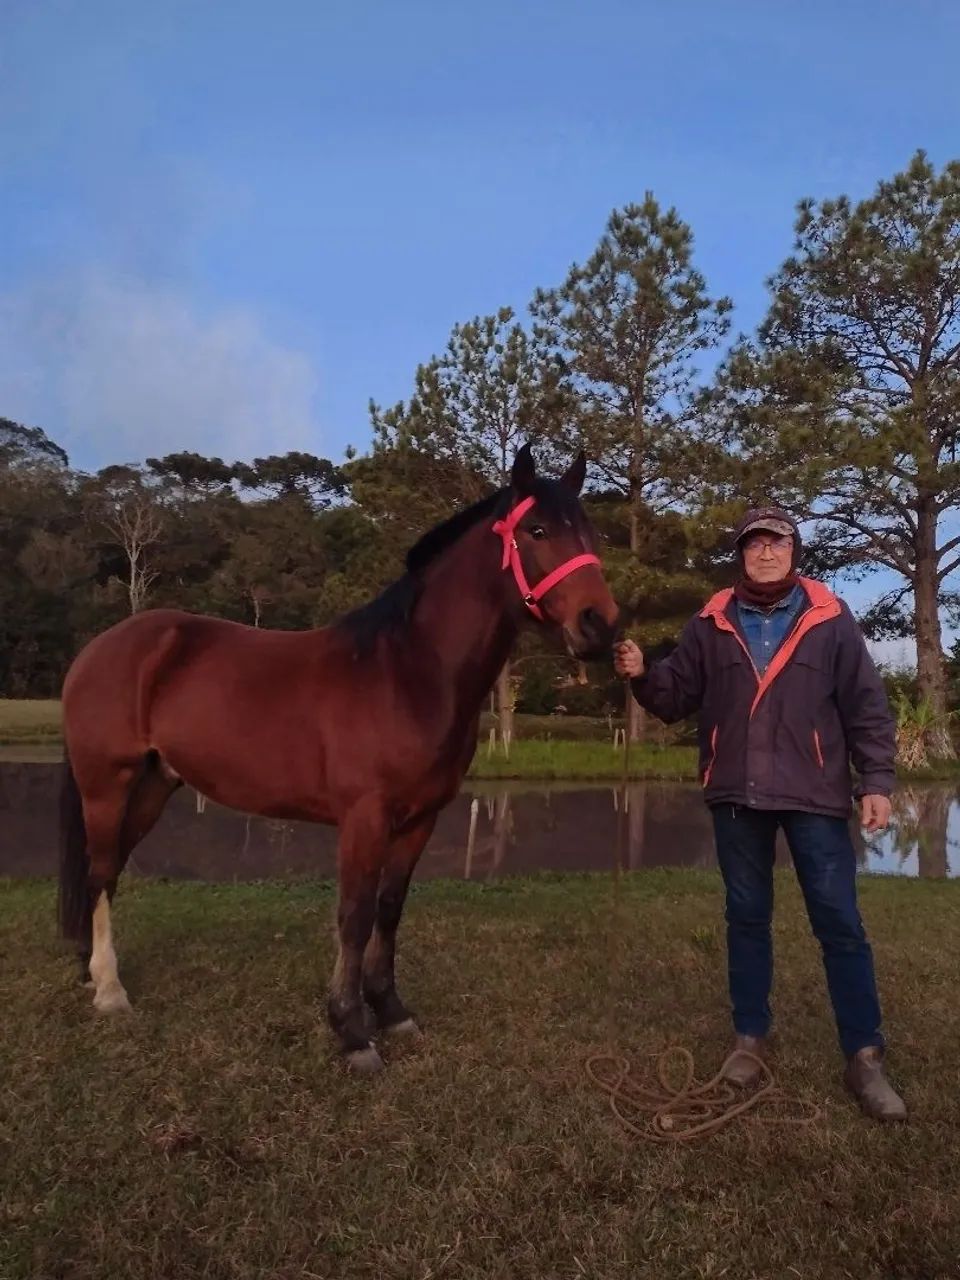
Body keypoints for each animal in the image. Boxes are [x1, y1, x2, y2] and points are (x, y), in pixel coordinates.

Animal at [58, 443, 619, 1072]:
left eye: (590, 534)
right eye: (536, 529)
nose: (601, 624)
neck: (409, 671)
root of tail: (102, 648)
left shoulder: (419, 820)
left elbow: (390, 909)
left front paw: (391, 1010)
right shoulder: (364, 819)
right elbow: (354, 916)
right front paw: (352, 1030)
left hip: (155, 785)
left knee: (106, 871)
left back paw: (91, 972)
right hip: (107, 784)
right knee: (100, 871)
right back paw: (110, 991)